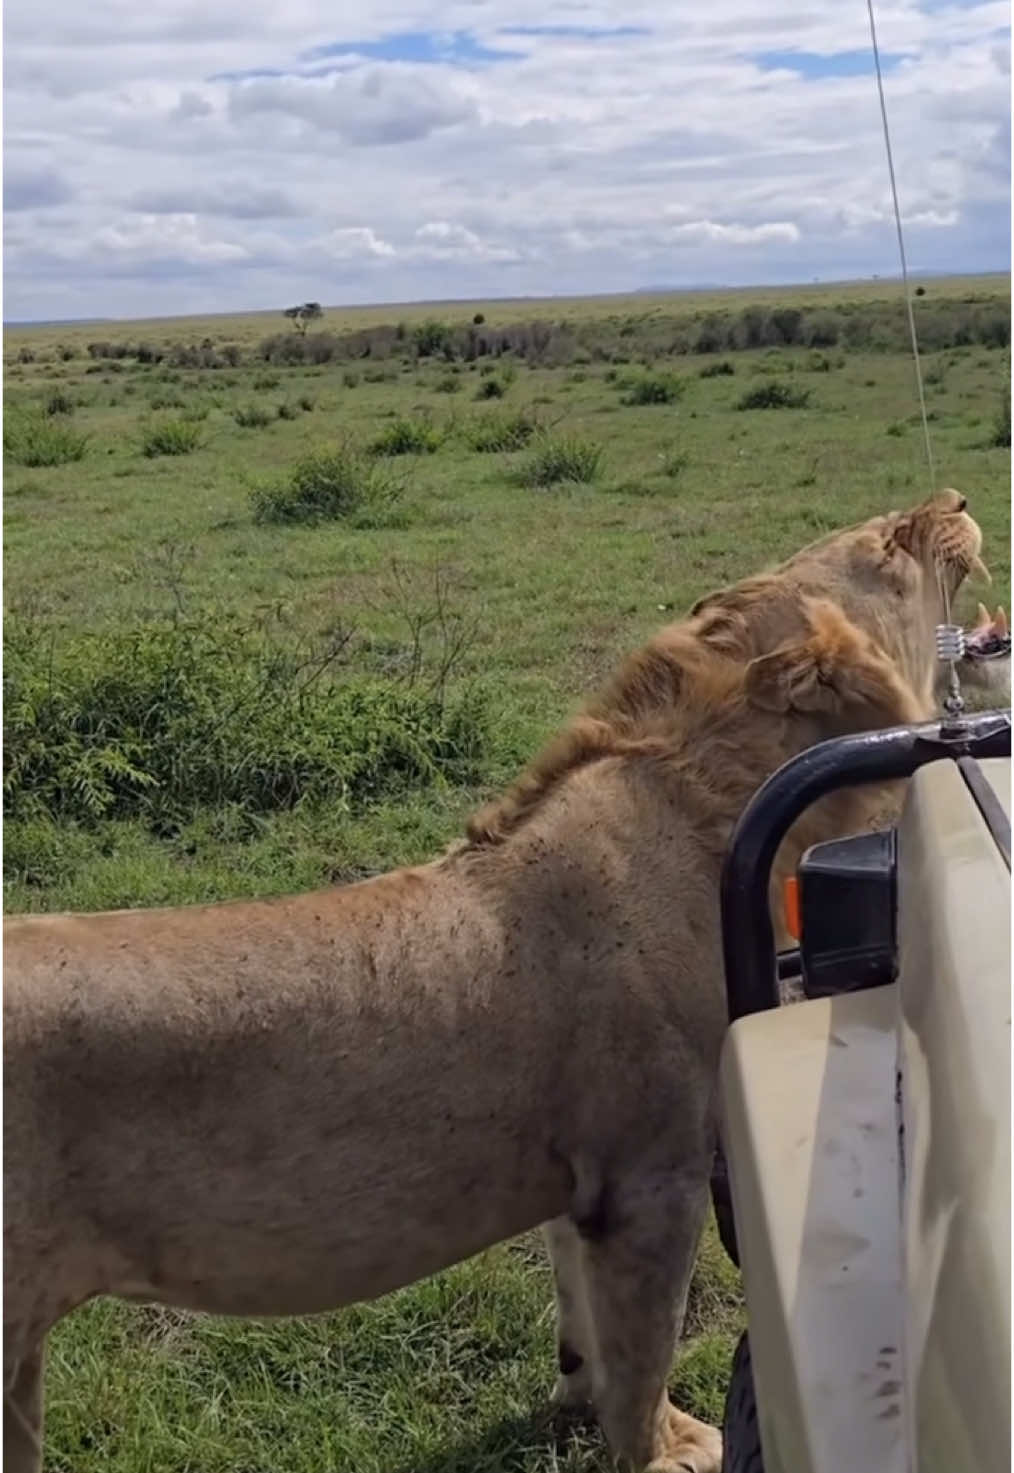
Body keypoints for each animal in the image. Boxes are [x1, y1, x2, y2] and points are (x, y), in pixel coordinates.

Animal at [1, 489, 990, 1467]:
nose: (955, 497)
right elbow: (646, 1351)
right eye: (889, 542)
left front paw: (573, 1401)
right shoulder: (652, 1177)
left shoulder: (578, 1188)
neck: (701, 800)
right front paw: (674, 1447)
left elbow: (581, 1317)